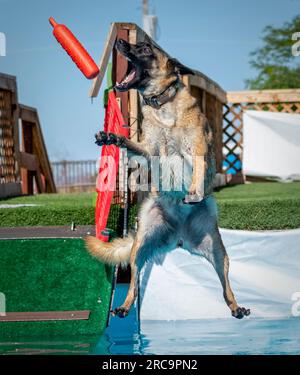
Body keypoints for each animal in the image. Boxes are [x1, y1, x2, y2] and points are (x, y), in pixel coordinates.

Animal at [83, 37, 250, 320]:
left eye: (145, 48)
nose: (119, 42)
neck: (163, 105)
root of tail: (179, 236)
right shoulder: (149, 150)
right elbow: (134, 145)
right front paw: (113, 137)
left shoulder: (198, 148)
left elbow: (197, 169)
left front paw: (193, 191)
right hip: (140, 246)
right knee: (134, 283)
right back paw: (125, 306)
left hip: (218, 251)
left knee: (225, 285)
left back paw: (236, 306)